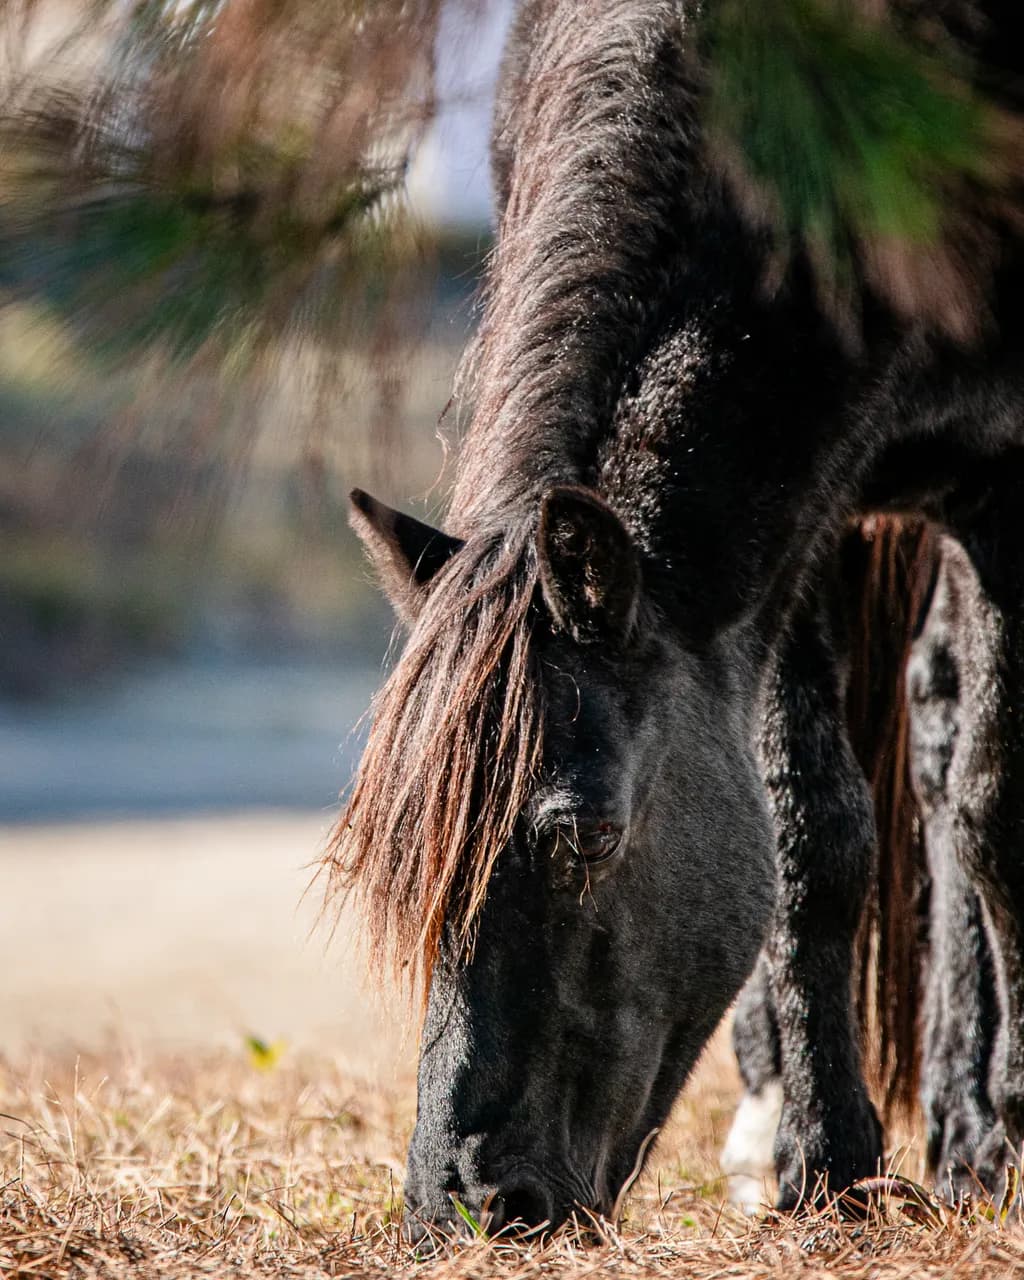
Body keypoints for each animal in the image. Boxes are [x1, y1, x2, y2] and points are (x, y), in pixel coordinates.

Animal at [325, 0, 1024, 1234]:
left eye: (587, 837)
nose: (467, 1201)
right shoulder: (779, 554)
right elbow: (810, 834)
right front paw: (826, 1166)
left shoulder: (1002, 490)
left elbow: (996, 810)